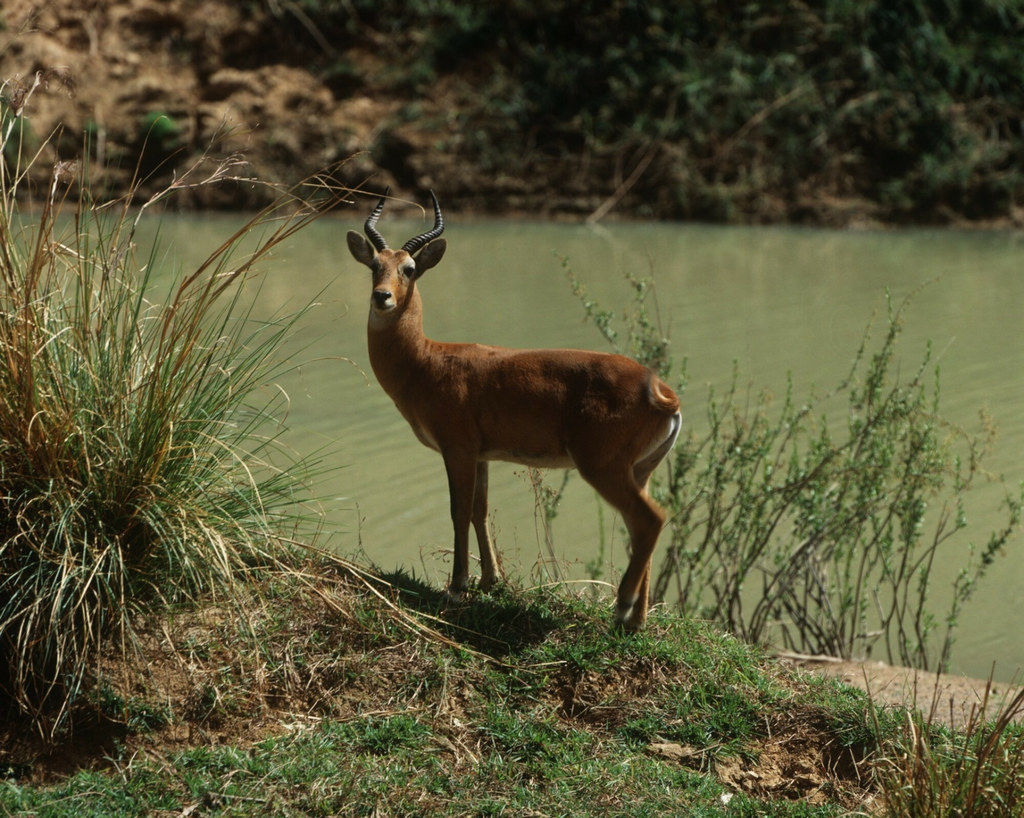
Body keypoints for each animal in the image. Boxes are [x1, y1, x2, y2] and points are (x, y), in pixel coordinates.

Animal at [348, 193, 684, 634]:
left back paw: (622, 607)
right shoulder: (481, 455)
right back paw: (634, 621)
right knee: (643, 526)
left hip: (603, 466)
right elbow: (480, 511)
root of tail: (661, 393)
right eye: (375, 265)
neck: (425, 361)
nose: (381, 297)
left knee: (650, 520)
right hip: (640, 470)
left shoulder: (457, 448)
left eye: (409, 268)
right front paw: (490, 581)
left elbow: (458, 511)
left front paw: (457, 587)